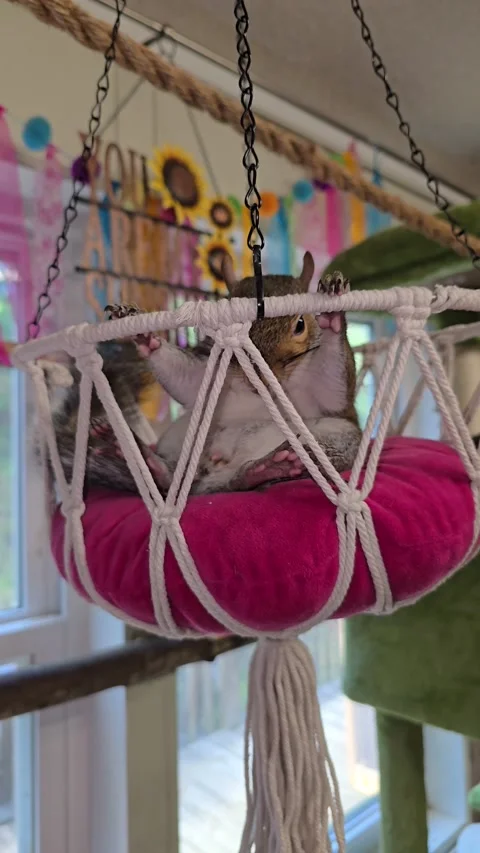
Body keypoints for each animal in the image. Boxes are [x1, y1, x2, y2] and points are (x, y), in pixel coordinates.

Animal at [44, 251, 361, 496]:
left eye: (300, 324)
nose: (258, 373)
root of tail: (212, 480)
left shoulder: (326, 400)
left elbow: (332, 390)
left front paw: (333, 310)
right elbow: (187, 381)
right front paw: (144, 333)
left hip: (337, 438)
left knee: (242, 481)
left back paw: (270, 467)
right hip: (183, 436)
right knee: (180, 480)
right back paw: (142, 459)